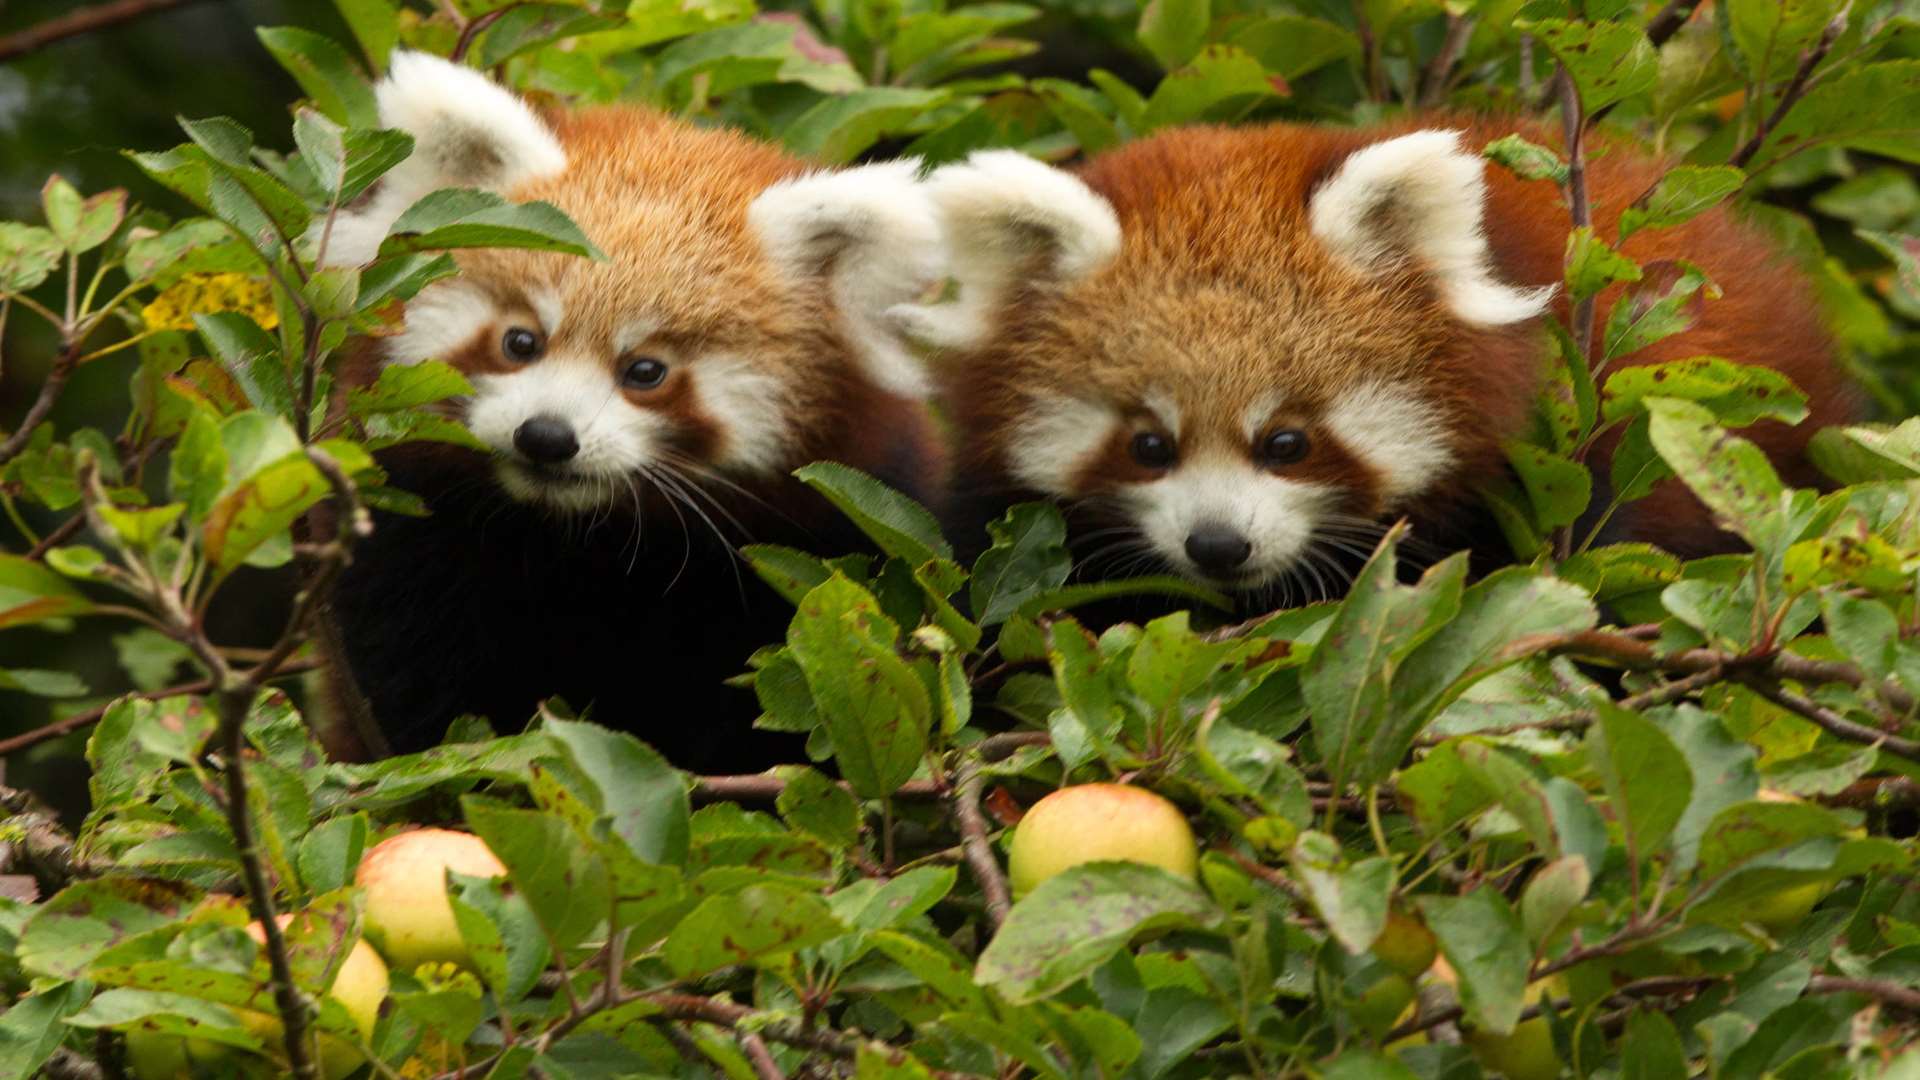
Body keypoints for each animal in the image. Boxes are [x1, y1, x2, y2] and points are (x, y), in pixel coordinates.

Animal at [318, 50, 948, 757]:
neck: (580, 546)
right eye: (520, 341)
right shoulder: (410, 549)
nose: (546, 436)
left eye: (645, 371)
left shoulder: (825, 543)